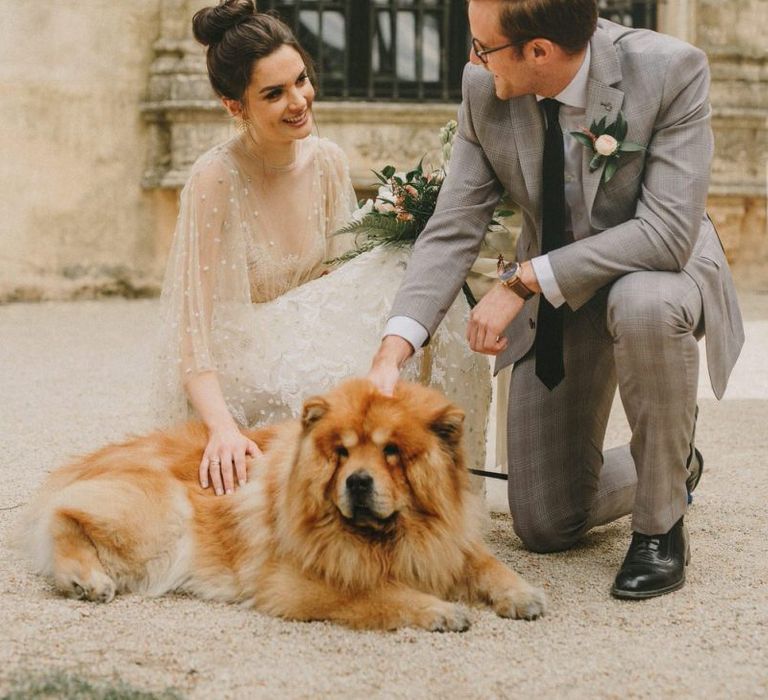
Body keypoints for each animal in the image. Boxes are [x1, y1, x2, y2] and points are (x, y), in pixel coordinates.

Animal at [18, 380, 544, 632]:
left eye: (391, 451)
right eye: (342, 452)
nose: (357, 481)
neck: (386, 538)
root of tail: (86, 462)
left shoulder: (448, 542)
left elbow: (487, 563)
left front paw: (522, 595)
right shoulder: (299, 580)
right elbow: (378, 592)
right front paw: (439, 610)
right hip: (161, 517)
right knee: (62, 515)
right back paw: (86, 579)